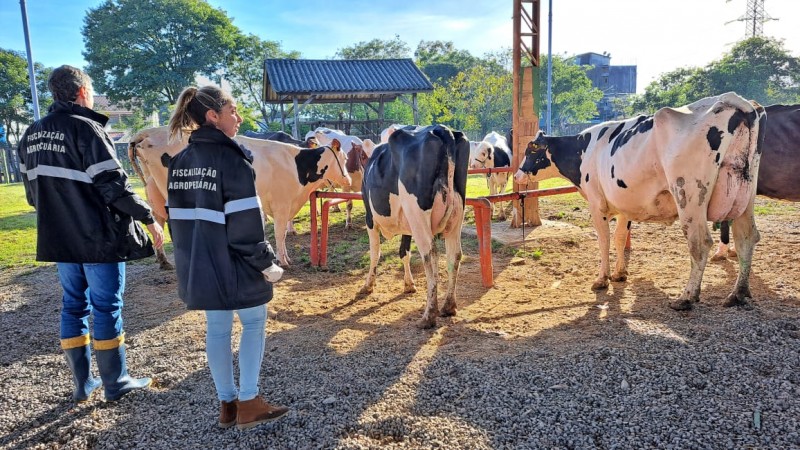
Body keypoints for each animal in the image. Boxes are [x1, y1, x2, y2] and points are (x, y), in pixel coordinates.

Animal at [129, 125, 350, 268]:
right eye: (345, 158)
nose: (348, 180)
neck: (294, 164)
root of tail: (149, 132)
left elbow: (282, 234)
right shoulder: (281, 203)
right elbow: (280, 233)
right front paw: (284, 261)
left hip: (153, 190)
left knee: (157, 221)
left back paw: (164, 261)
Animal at [358, 123, 468, 326]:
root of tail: (441, 129)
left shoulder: (370, 219)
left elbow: (375, 253)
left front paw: (368, 285)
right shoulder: (406, 223)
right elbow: (404, 252)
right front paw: (409, 284)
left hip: (417, 214)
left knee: (430, 254)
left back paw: (428, 315)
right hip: (456, 216)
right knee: (454, 255)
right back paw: (448, 307)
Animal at [516, 91, 764, 310]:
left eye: (529, 150)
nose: (517, 176)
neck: (586, 149)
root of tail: (731, 99)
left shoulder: (597, 205)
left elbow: (604, 240)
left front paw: (602, 278)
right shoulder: (625, 206)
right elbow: (619, 238)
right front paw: (619, 273)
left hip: (689, 196)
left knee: (700, 243)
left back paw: (686, 297)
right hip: (745, 194)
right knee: (746, 238)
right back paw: (738, 294)